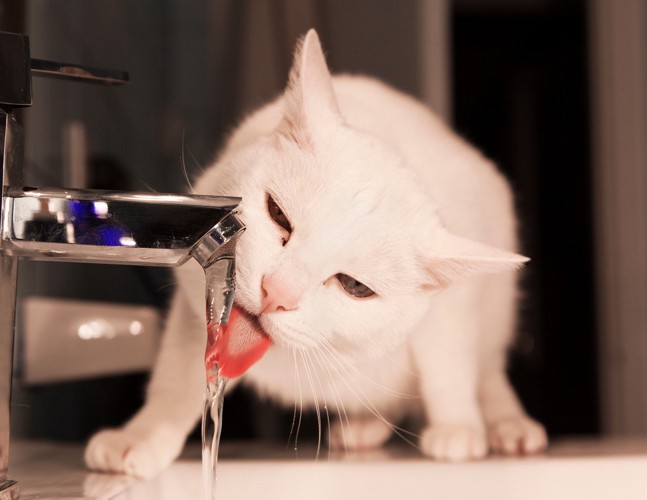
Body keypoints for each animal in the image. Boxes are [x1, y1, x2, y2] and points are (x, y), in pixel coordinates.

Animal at [85, 29, 548, 478]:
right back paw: (364, 427)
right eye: (278, 215)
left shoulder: (452, 313)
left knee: (486, 372)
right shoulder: (191, 315)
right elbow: (175, 385)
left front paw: (458, 428)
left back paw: (507, 424)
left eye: (354, 285)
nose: (276, 292)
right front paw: (142, 436)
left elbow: (448, 367)